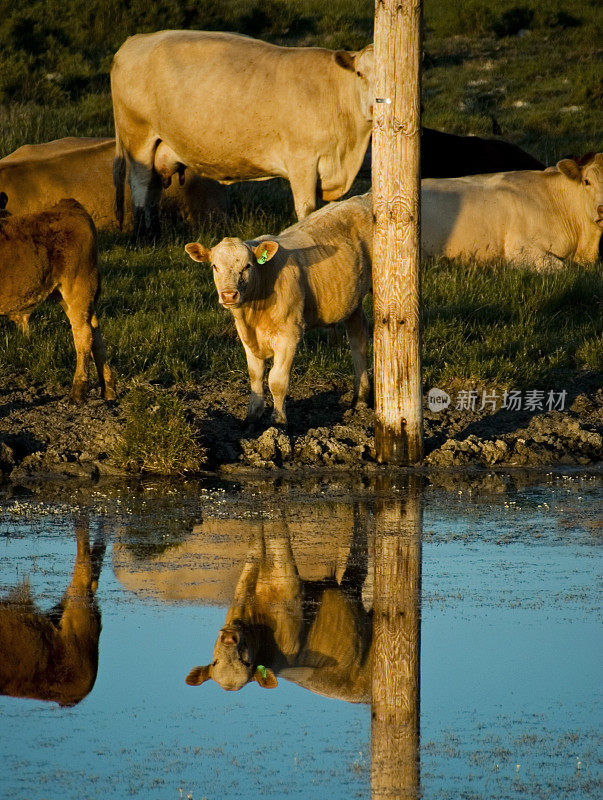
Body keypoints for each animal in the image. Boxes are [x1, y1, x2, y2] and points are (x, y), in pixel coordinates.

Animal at [109, 32, 372, 238]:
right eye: (360, 73)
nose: (374, 107)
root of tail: (136, 40)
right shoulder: (302, 162)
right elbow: (307, 209)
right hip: (138, 136)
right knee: (141, 186)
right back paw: (144, 235)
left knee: (152, 189)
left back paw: (154, 233)